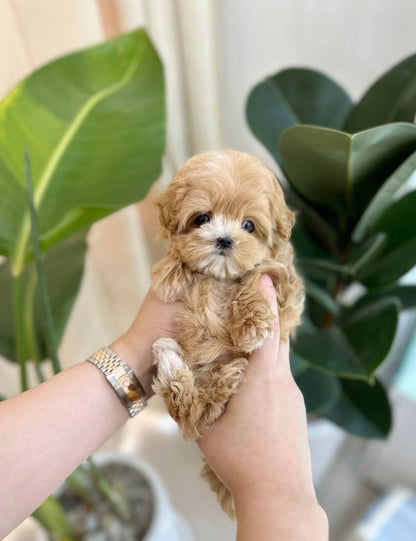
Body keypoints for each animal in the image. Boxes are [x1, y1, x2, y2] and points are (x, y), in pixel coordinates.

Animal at [151, 149, 304, 520]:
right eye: (201, 218)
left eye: (248, 225)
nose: (224, 239)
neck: (219, 277)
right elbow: (178, 253)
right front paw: (169, 272)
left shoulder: (284, 286)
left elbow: (258, 275)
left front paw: (250, 326)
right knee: (191, 414)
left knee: (197, 414)